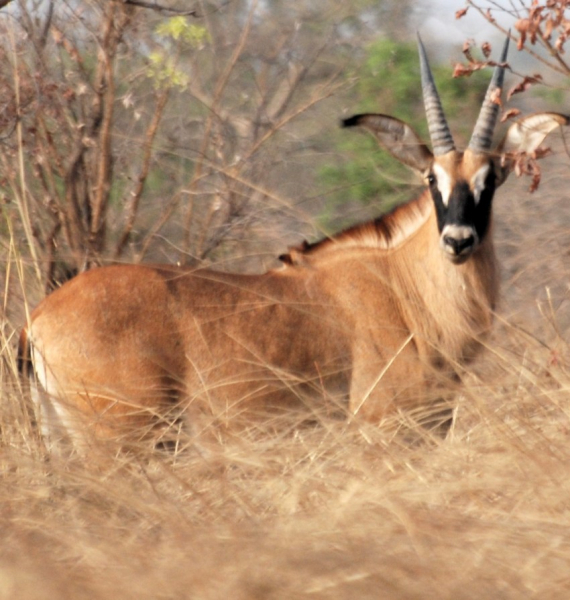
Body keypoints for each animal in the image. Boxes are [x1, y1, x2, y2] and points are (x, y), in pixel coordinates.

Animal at [20, 35, 564, 452]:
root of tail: (40, 318)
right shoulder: (382, 431)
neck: (403, 288)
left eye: (490, 179)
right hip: (120, 445)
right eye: (432, 178)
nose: (458, 241)